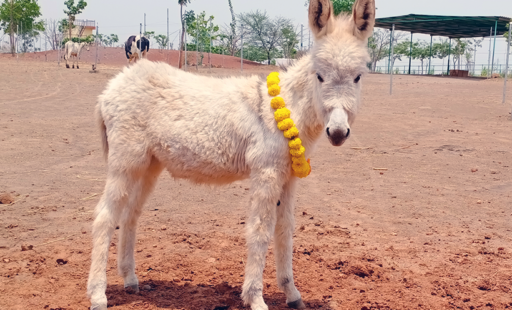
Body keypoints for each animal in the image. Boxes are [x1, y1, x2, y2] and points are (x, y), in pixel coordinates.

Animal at [87, 0, 376, 310]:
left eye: (358, 77)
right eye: (319, 76)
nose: (338, 132)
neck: (284, 107)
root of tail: (109, 90)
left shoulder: (288, 178)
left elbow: (285, 230)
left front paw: (292, 293)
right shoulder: (266, 172)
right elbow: (260, 231)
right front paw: (256, 298)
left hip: (149, 164)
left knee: (130, 214)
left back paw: (131, 280)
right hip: (126, 160)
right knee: (105, 217)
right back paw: (98, 294)